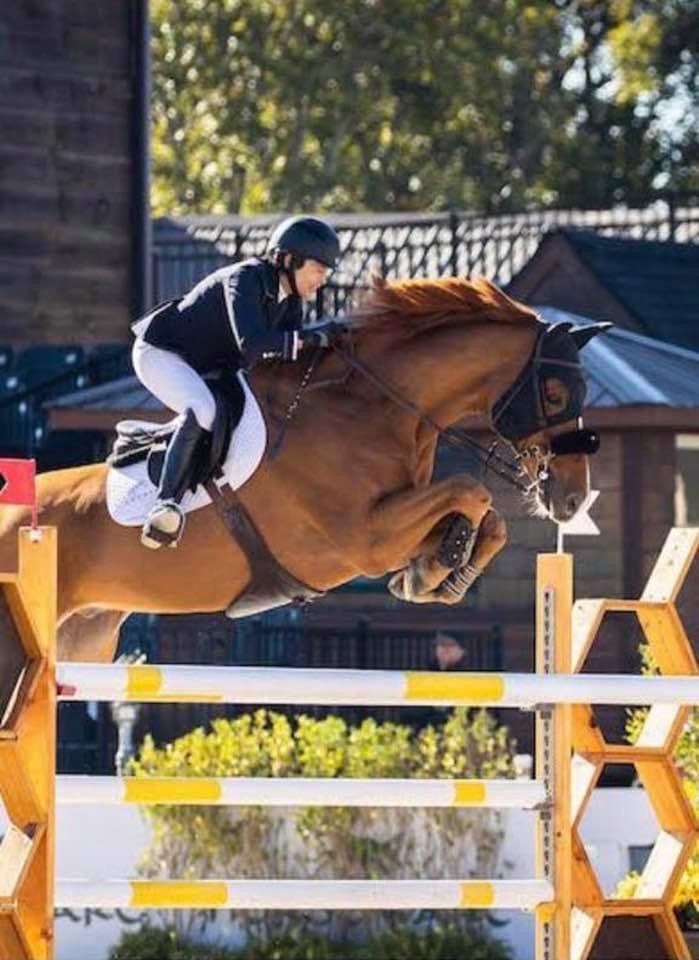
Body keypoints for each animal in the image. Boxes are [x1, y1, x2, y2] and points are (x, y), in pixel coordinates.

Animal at [0, 272, 604, 660]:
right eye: (555, 393)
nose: (572, 497)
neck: (374, 408)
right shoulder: (366, 538)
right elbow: (470, 491)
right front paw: (436, 569)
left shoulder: (395, 523)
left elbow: (486, 516)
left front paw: (441, 571)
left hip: (84, 637)